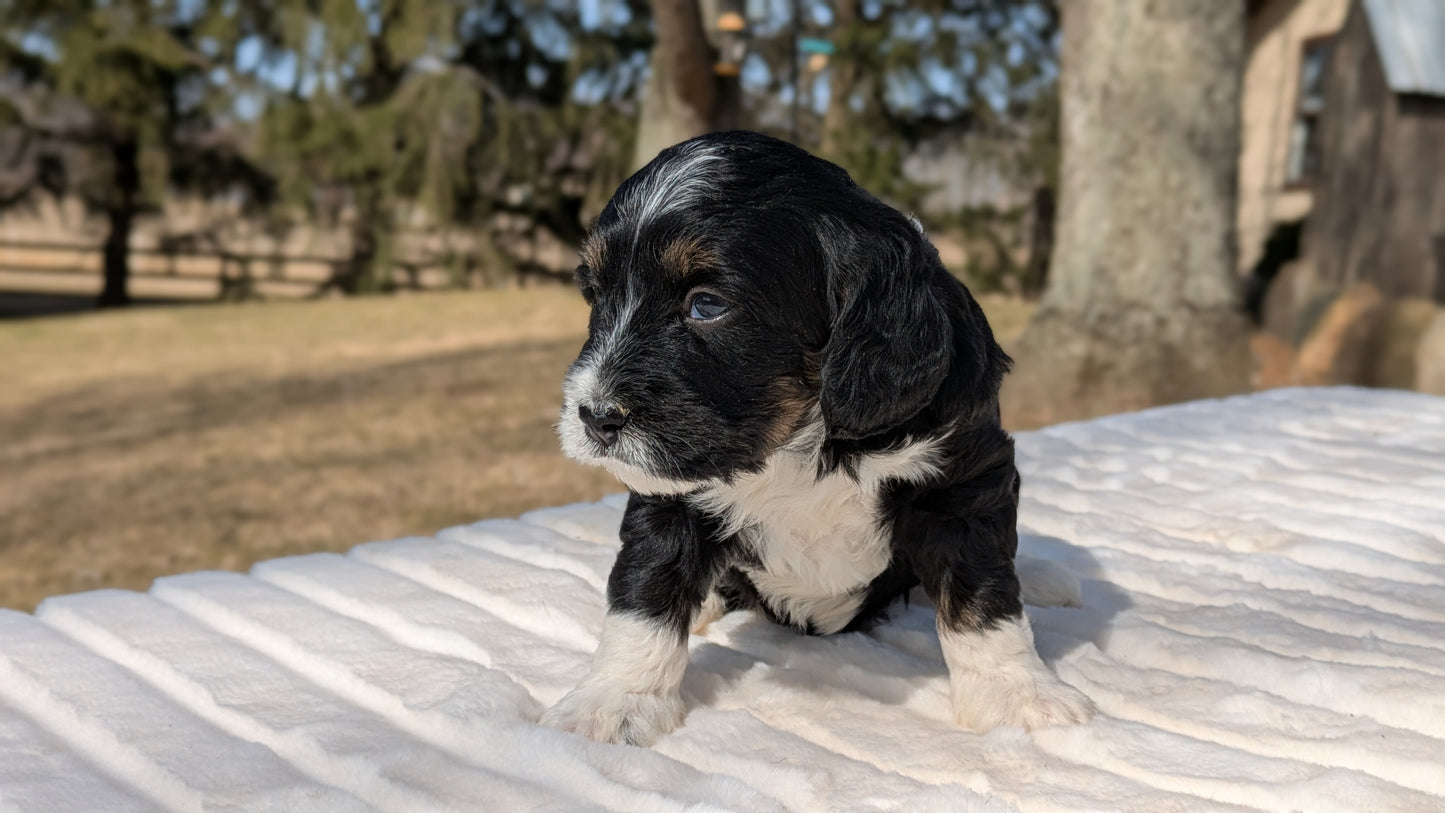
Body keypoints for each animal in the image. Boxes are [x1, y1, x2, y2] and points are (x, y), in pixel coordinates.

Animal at [543, 130, 1092, 745]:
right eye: (595, 295)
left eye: (708, 304)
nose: (594, 417)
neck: (798, 435)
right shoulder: (670, 494)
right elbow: (644, 594)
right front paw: (613, 703)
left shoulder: (964, 478)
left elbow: (983, 592)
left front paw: (1016, 695)